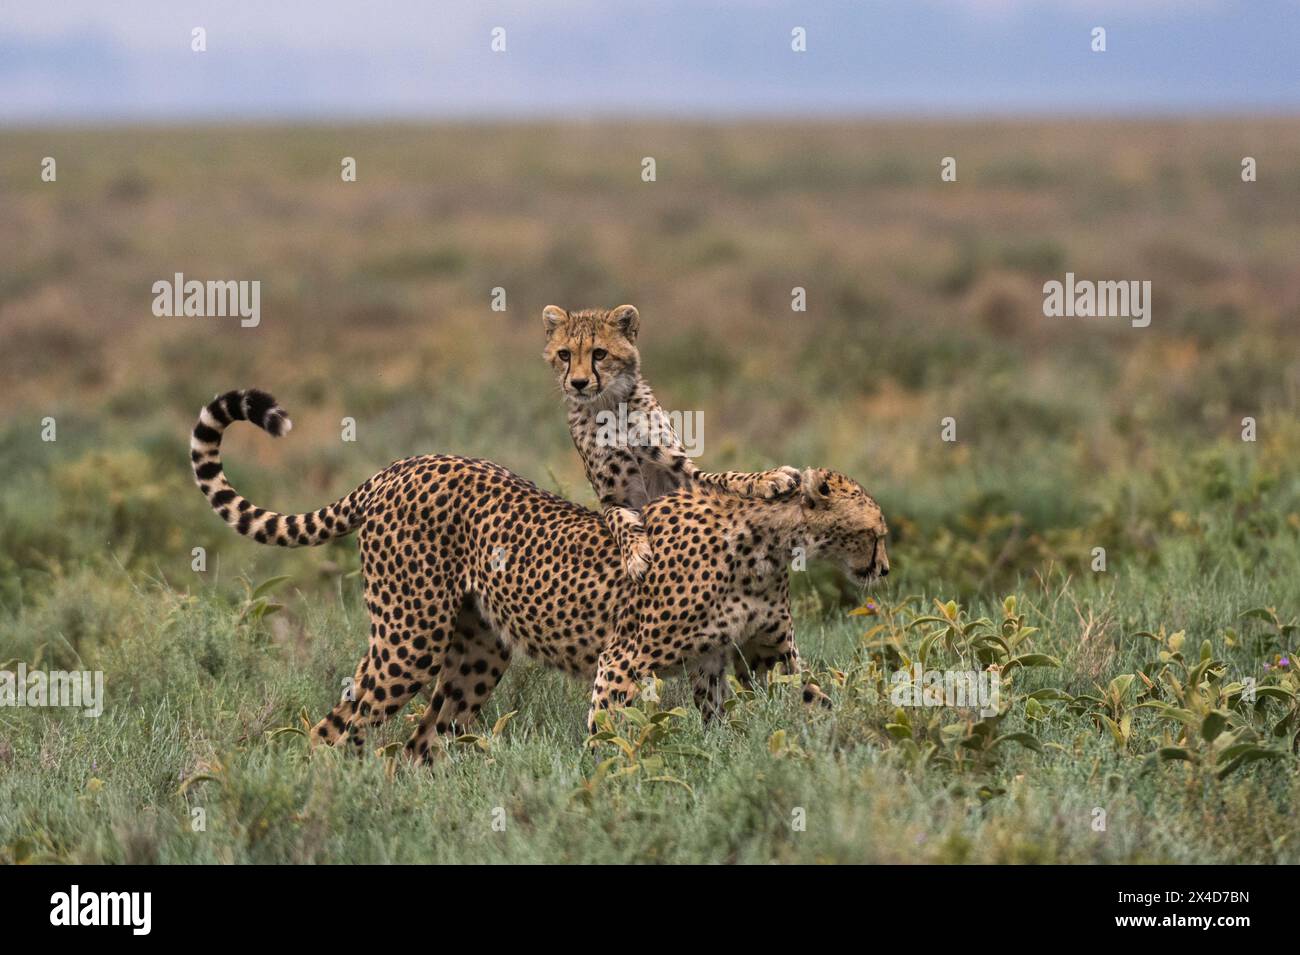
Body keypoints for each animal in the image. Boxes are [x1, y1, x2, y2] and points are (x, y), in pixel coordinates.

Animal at [189, 387, 883, 753]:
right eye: (874, 531)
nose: (883, 564)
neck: (770, 543)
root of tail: (400, 466)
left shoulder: (758, 657)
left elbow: (819, 701)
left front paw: (863, 749)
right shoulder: (624, 659)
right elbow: (611, 739)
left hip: (476, 652)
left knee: (419, 744)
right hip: (409, 638)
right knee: (337, 729)